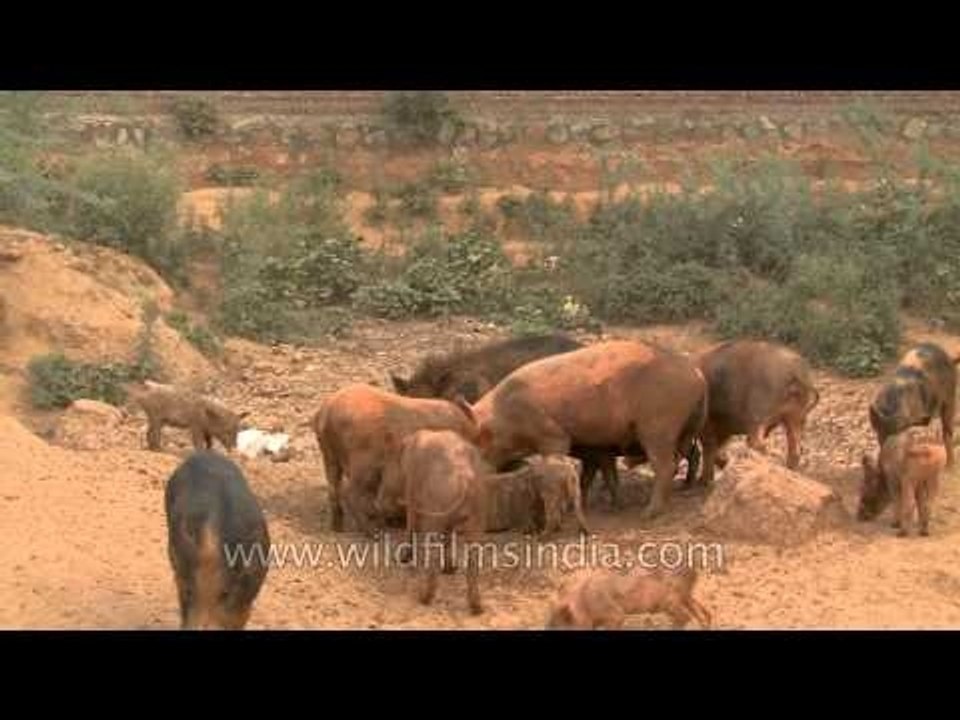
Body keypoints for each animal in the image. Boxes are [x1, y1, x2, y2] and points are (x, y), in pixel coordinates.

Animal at [312, 383, 480, 535]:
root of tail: (327, 410)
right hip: (361, 464)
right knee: (350, 493)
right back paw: (372, 532)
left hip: (329, 456)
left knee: (334, 490)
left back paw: (338, 528)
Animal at [376, 429, 487, 614]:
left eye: (385, 468)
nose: (377, 504)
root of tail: (464, 479)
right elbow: (448, 534)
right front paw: (450, 569)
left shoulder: (412, 487)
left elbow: (411, 519)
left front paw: (403, 558)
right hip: (477, 511)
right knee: (473, 550)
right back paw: (477, 608)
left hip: (439, 503)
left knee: (433, 544)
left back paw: (424, 599)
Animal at [470, 340, 708, 519]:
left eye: (475, 445)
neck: (505, 413)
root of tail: (697, 374)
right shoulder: (594, 451)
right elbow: (591, 476)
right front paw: (607, 506)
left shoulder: (554, 436)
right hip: (680, 429)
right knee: (689, 454)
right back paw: (682, 489)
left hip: (657, 427)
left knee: (666, 466)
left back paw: (647, 514)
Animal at [545, 565, 712, 630]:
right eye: (549, 626)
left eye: (559, 627)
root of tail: (693, 571)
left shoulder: (616, 615)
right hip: (685, 597)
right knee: (703, 612)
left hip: (670, 602)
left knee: (685, 617)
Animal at [690, 340, 819, 486]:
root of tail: (794, 371)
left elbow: (710, 445)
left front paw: (706, 480)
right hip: (796, 415)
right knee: (794, 447)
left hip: (760, 414)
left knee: (757, 443)